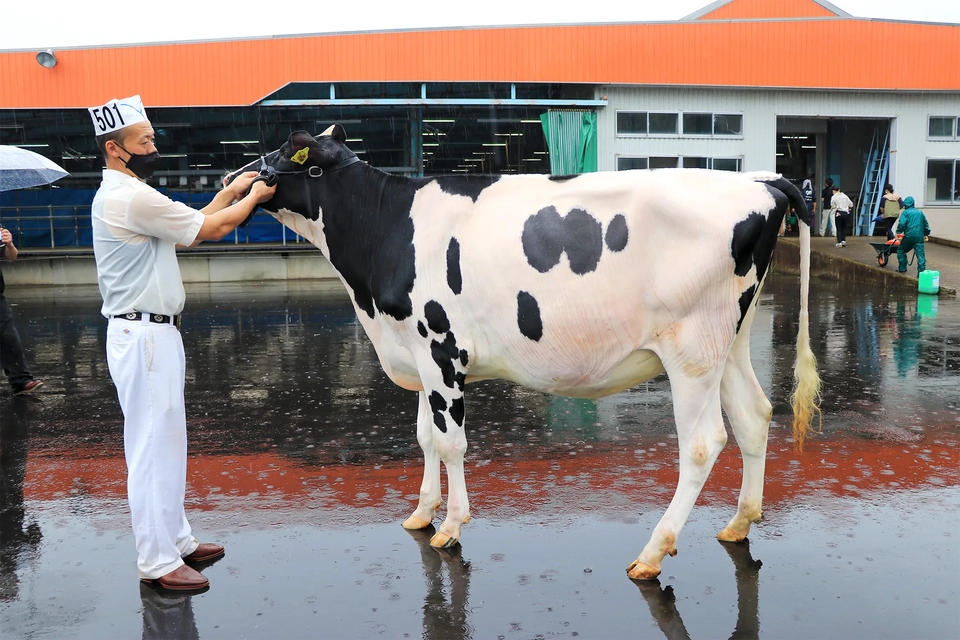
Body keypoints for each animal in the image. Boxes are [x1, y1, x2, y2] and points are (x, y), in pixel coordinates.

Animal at [225, 125, 816, 580]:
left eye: (287, 151)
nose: (234, 177)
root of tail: (758, 178)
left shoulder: (442, 350)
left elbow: (453, 444)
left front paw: (450, 526)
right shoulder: (417, 351)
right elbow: (426, 439)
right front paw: (421, 512)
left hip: (691, 349)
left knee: (702, 442)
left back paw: (652, 552)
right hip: (727, 343)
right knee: (754, 416)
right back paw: (739, 523)